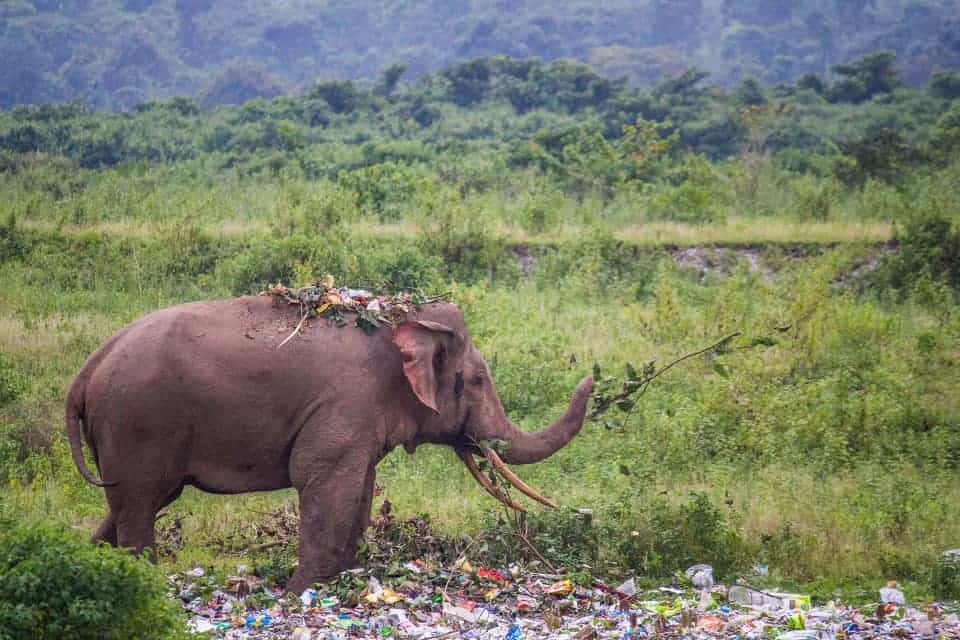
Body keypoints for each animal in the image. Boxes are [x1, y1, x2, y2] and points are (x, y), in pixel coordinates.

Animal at [66, 295, 593, 593]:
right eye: (479, 380)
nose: (593, 375)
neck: (404, 321)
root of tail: (87, 370)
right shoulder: (347, 401)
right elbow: (321, 476)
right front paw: (300, 593)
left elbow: (361, 487)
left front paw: (344, 580)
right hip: (138, 421)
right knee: (140, 502)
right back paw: (144, 581)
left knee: (131, 502)